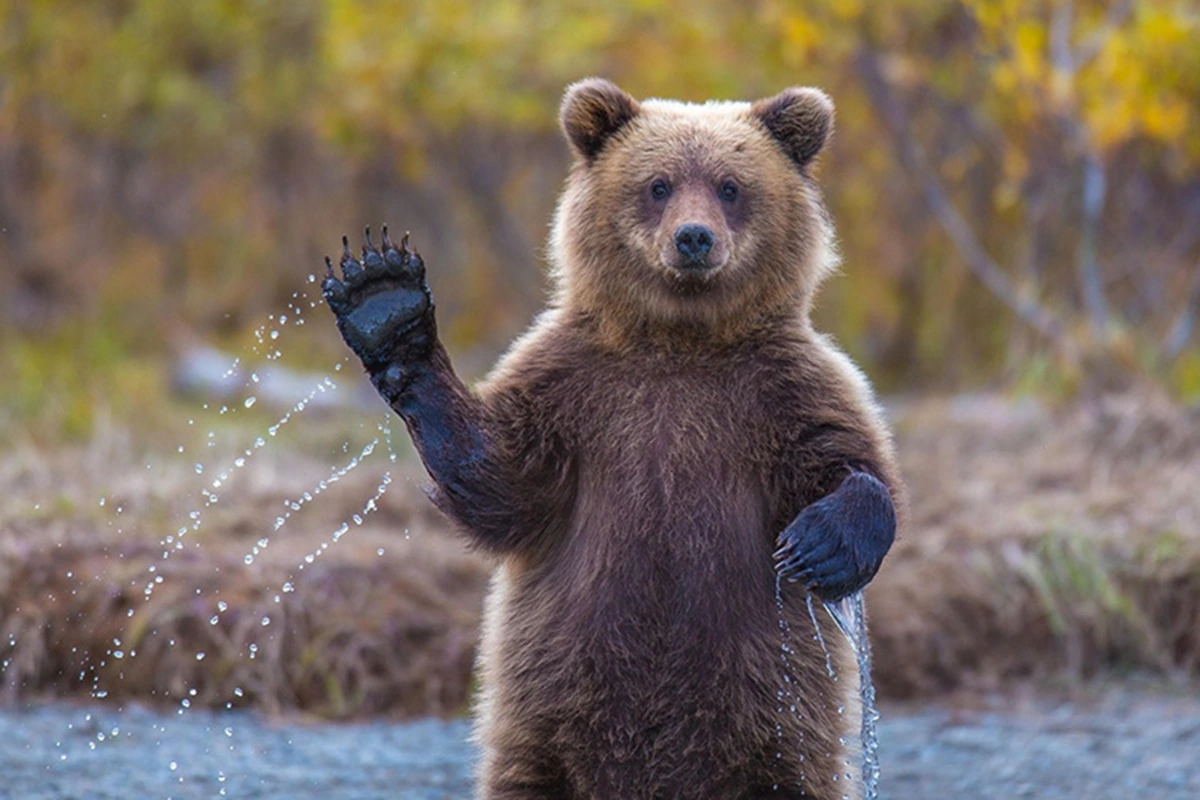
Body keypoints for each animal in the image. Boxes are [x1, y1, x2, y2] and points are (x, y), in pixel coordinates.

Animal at [321, 78, 904, 800]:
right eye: (658, 184)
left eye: (730, 185)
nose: (693, 238)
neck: (680, 339)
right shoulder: (576, 389)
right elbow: (501, 482)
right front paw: (384, 300)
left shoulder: (781, 389)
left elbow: (849, 459)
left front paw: (819, 545)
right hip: (544, 722)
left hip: (776, 727)